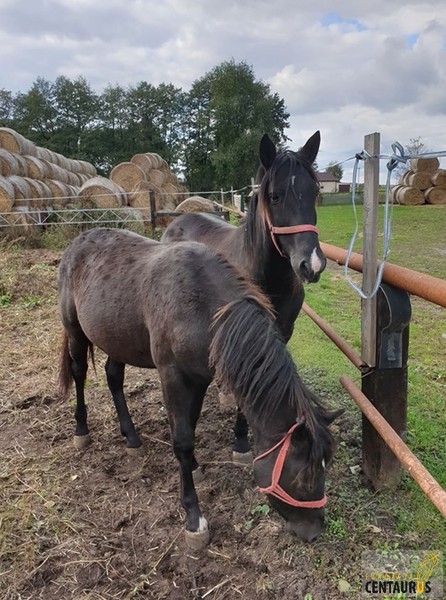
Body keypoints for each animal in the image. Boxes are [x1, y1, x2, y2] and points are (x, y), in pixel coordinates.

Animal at [57, 227, 340, 548]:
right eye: (303, 478)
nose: (313, 530)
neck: (201, 307)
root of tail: (78, 242)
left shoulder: (199, 378)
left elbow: (190, 426)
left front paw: (193, 465)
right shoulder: (173, 377)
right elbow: (182, 439)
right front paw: (194, 517)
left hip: (118, 338)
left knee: (113, 378)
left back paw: (132, 438)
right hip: (75, 331)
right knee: (80, 374)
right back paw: (81, 430)